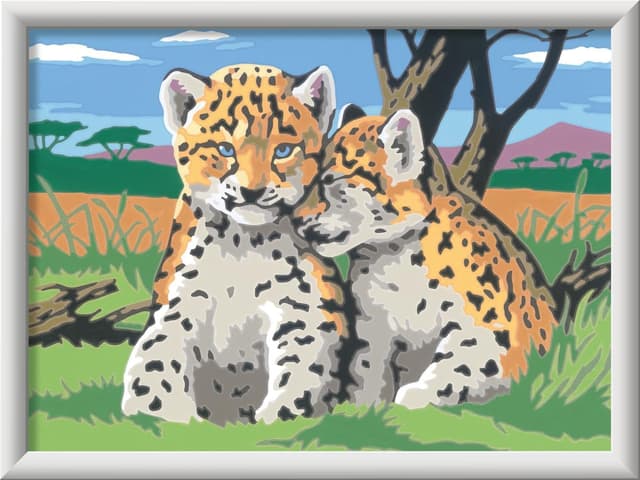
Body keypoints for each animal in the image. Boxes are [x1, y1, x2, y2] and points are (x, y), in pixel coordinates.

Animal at [121, 64, 350, 425]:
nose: (252, 191)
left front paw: (279, 414)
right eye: (225, 149)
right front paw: (164, 412)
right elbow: (155, 359)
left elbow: (303, 364)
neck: (243, 242)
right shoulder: (181, 303)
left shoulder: (303, 307)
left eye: (283, 150)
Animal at [293, 106, 559, 409]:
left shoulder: (487, 325)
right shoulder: (372, 324)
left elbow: (462, 360)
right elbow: (367, 369)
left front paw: (416, 394)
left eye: (332, 181)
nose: (295, 218)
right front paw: (361, 405)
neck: (390, 258)